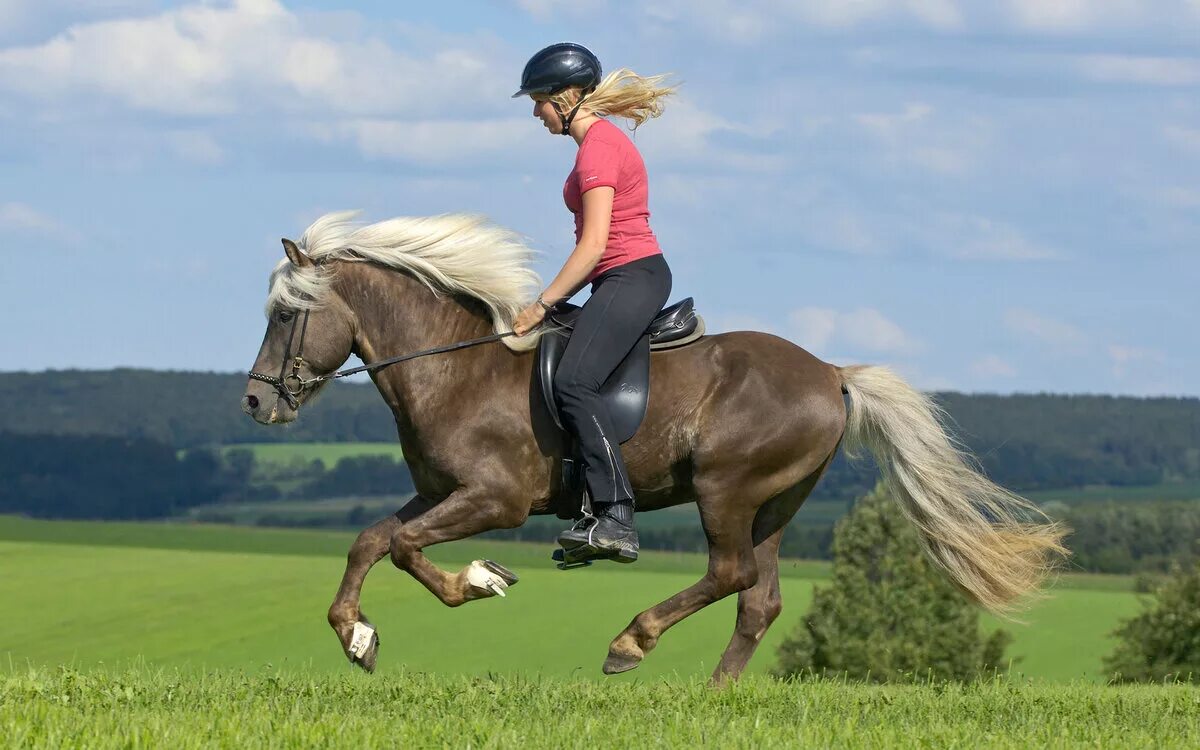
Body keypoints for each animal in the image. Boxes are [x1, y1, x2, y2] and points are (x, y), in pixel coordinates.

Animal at [238, 208, 1065, 676]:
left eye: (285, 315)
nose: (253, 401)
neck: (454, 367)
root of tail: (831, 372)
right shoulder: (439, 492)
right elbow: (371, 540)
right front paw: (356, 637)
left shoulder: (494, 500)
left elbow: (406, 549)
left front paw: (478, 581)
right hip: (777, 503)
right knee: (759, 599)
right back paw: (714, 695)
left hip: (726, 488)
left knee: (730, 574)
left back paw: (631, 643)